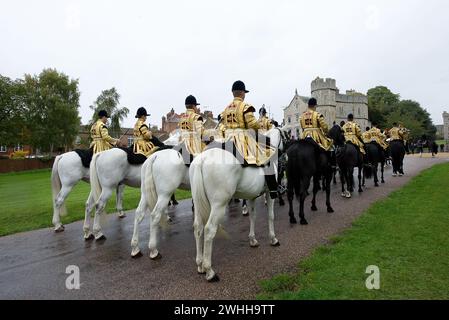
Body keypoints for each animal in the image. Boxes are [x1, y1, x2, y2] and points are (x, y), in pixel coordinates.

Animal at [190, 129, 284, 282]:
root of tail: (202, 159)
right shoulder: (270, 194)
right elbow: (270, 216)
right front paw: (273, 239)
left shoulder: (251, 197)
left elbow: (253, 217)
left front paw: (253, 240)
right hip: (219, 206)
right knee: (209, 229)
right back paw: (209, 271)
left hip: (198, 204)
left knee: (198, 228)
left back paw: (200, 265)